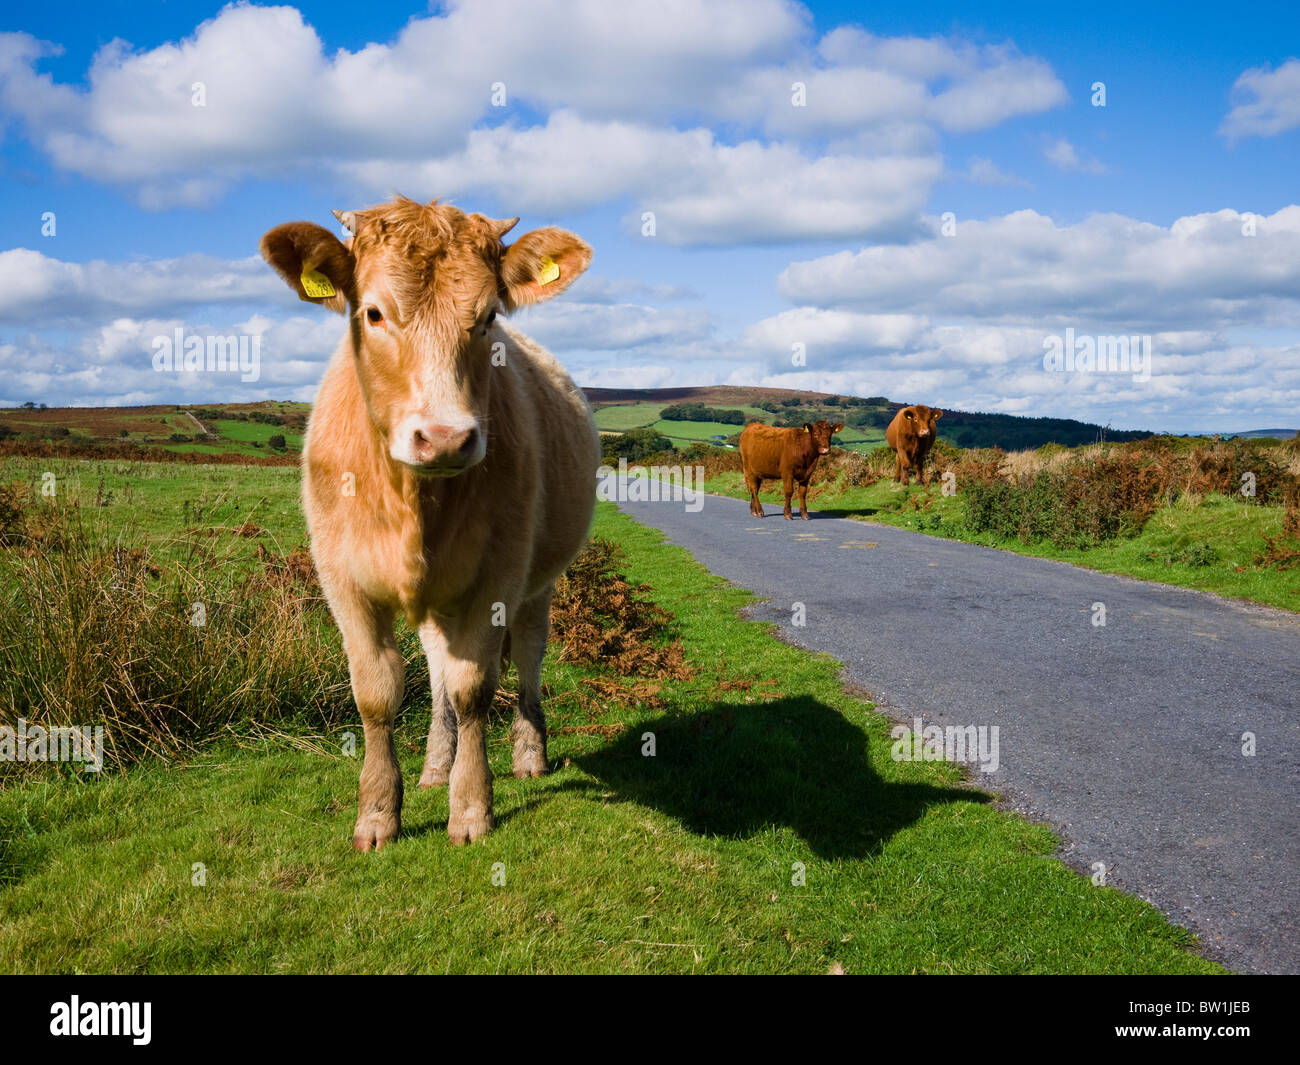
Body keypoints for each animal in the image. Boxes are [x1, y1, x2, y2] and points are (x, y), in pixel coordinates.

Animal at [260, 197, 603, 847]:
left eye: (489, 316)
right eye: (372, 312)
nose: (445, 437)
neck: (412, 503)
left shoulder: (497, 576)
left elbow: (474, 690)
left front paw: (470, 807)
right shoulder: (343, 580)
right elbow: (378, 693)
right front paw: (377, 812)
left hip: (538, 584)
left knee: (527, 656)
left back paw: (528, 754)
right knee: (439, 670)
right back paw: (435, 765)